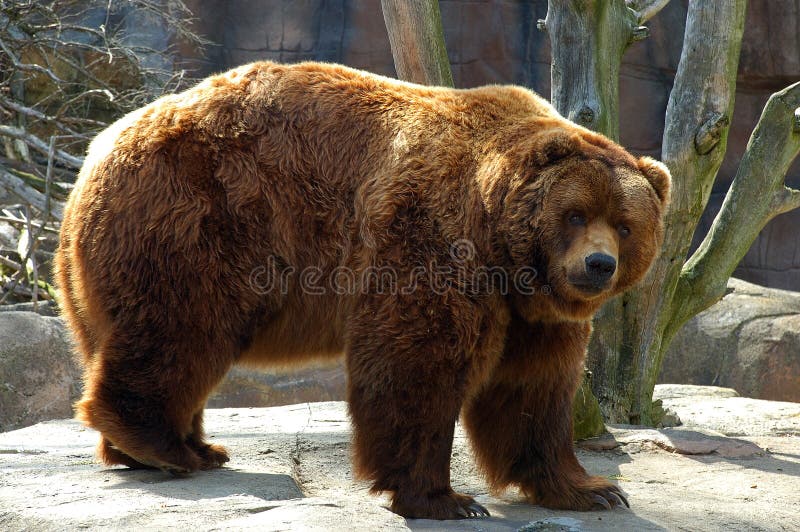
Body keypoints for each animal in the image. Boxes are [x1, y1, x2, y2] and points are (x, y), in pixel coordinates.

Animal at [56, 61, 670, 520]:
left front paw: (592, 489)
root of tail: (96, 151)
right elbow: (417, 362)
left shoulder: (532, 312)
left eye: (624, 224)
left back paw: (182, 447)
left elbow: (533, 389)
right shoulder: (434, 236)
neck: (502, 250)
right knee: (181, 328)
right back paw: (164, 446)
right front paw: (444, 497)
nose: (598, 264)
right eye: (575, 213)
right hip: (199, 217)